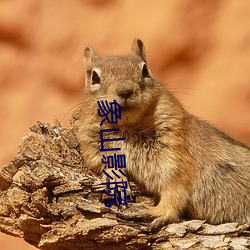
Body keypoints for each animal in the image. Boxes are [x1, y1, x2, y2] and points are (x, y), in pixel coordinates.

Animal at [78, 38, 250, 229]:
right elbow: (97, 161)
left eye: (145, 70)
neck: (127, 126)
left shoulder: (175, 153)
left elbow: (175, 189)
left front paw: (156, 211)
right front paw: (116, 177)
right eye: (94, 77)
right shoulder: (90, 143)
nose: (125, 91)